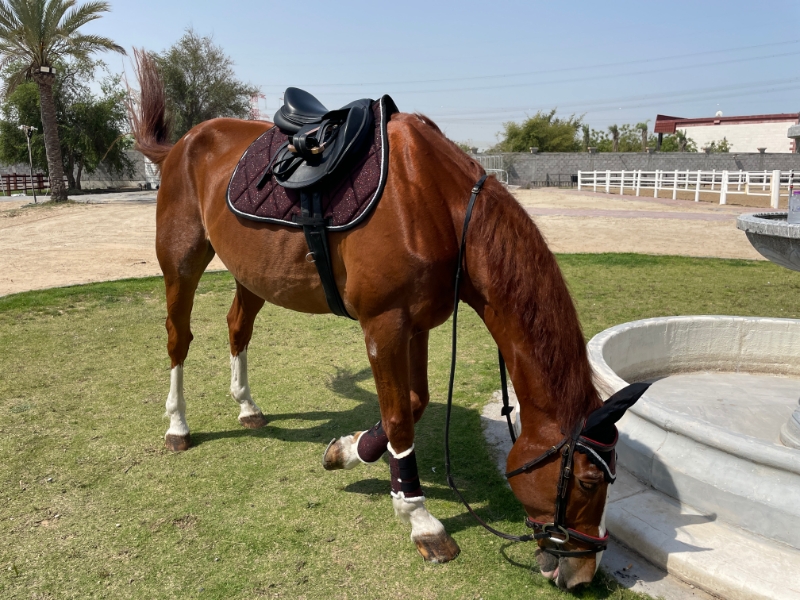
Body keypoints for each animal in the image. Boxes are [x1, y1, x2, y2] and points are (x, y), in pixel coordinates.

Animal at [130, 54, 644, 588]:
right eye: (588, 481)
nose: (584, 572)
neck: (434, 203)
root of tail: (186, 140)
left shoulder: (415, 325)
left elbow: (414, 404)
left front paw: (349, 450)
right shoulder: (383, 325)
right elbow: (399, 416)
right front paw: (420, 519)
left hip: (253, 274)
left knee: (237, 327)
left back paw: (247, 407)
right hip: (181, 261)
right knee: (178, 339)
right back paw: (178, 426)